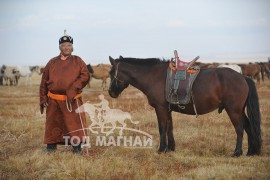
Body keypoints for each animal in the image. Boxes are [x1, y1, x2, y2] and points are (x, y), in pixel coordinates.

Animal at [108, 56, 262, 156]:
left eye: (111, 73)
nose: (110, 92)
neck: (153, 76)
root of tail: (243, 77)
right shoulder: (168, 109)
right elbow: (169, 128)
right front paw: (170, 148)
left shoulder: (160, 108)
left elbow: (162, 128)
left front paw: (161, 149)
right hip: (240, 111)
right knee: (248, 127)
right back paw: (251, 151)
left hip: (234, 111)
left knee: (240, 128)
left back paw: (237, 152)